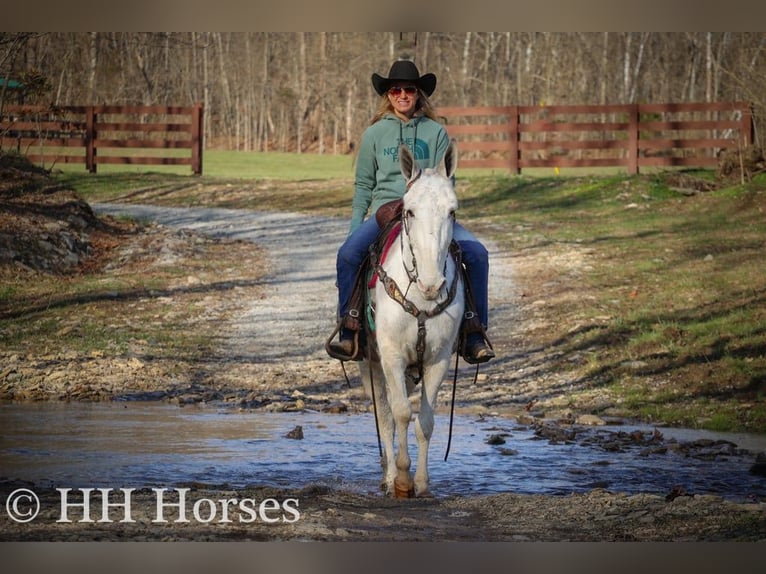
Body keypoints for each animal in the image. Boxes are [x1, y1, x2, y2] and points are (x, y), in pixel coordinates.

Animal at [360, 139, 464, 498]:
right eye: (410, 211)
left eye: (452, 211)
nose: (433, 284)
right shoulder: (391, 357)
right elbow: (402, 414)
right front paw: (402, 479)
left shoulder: (437, 359)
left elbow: (425, 422)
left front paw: (421, 482)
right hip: (372, 364)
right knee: (386, 415)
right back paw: (388, 474)